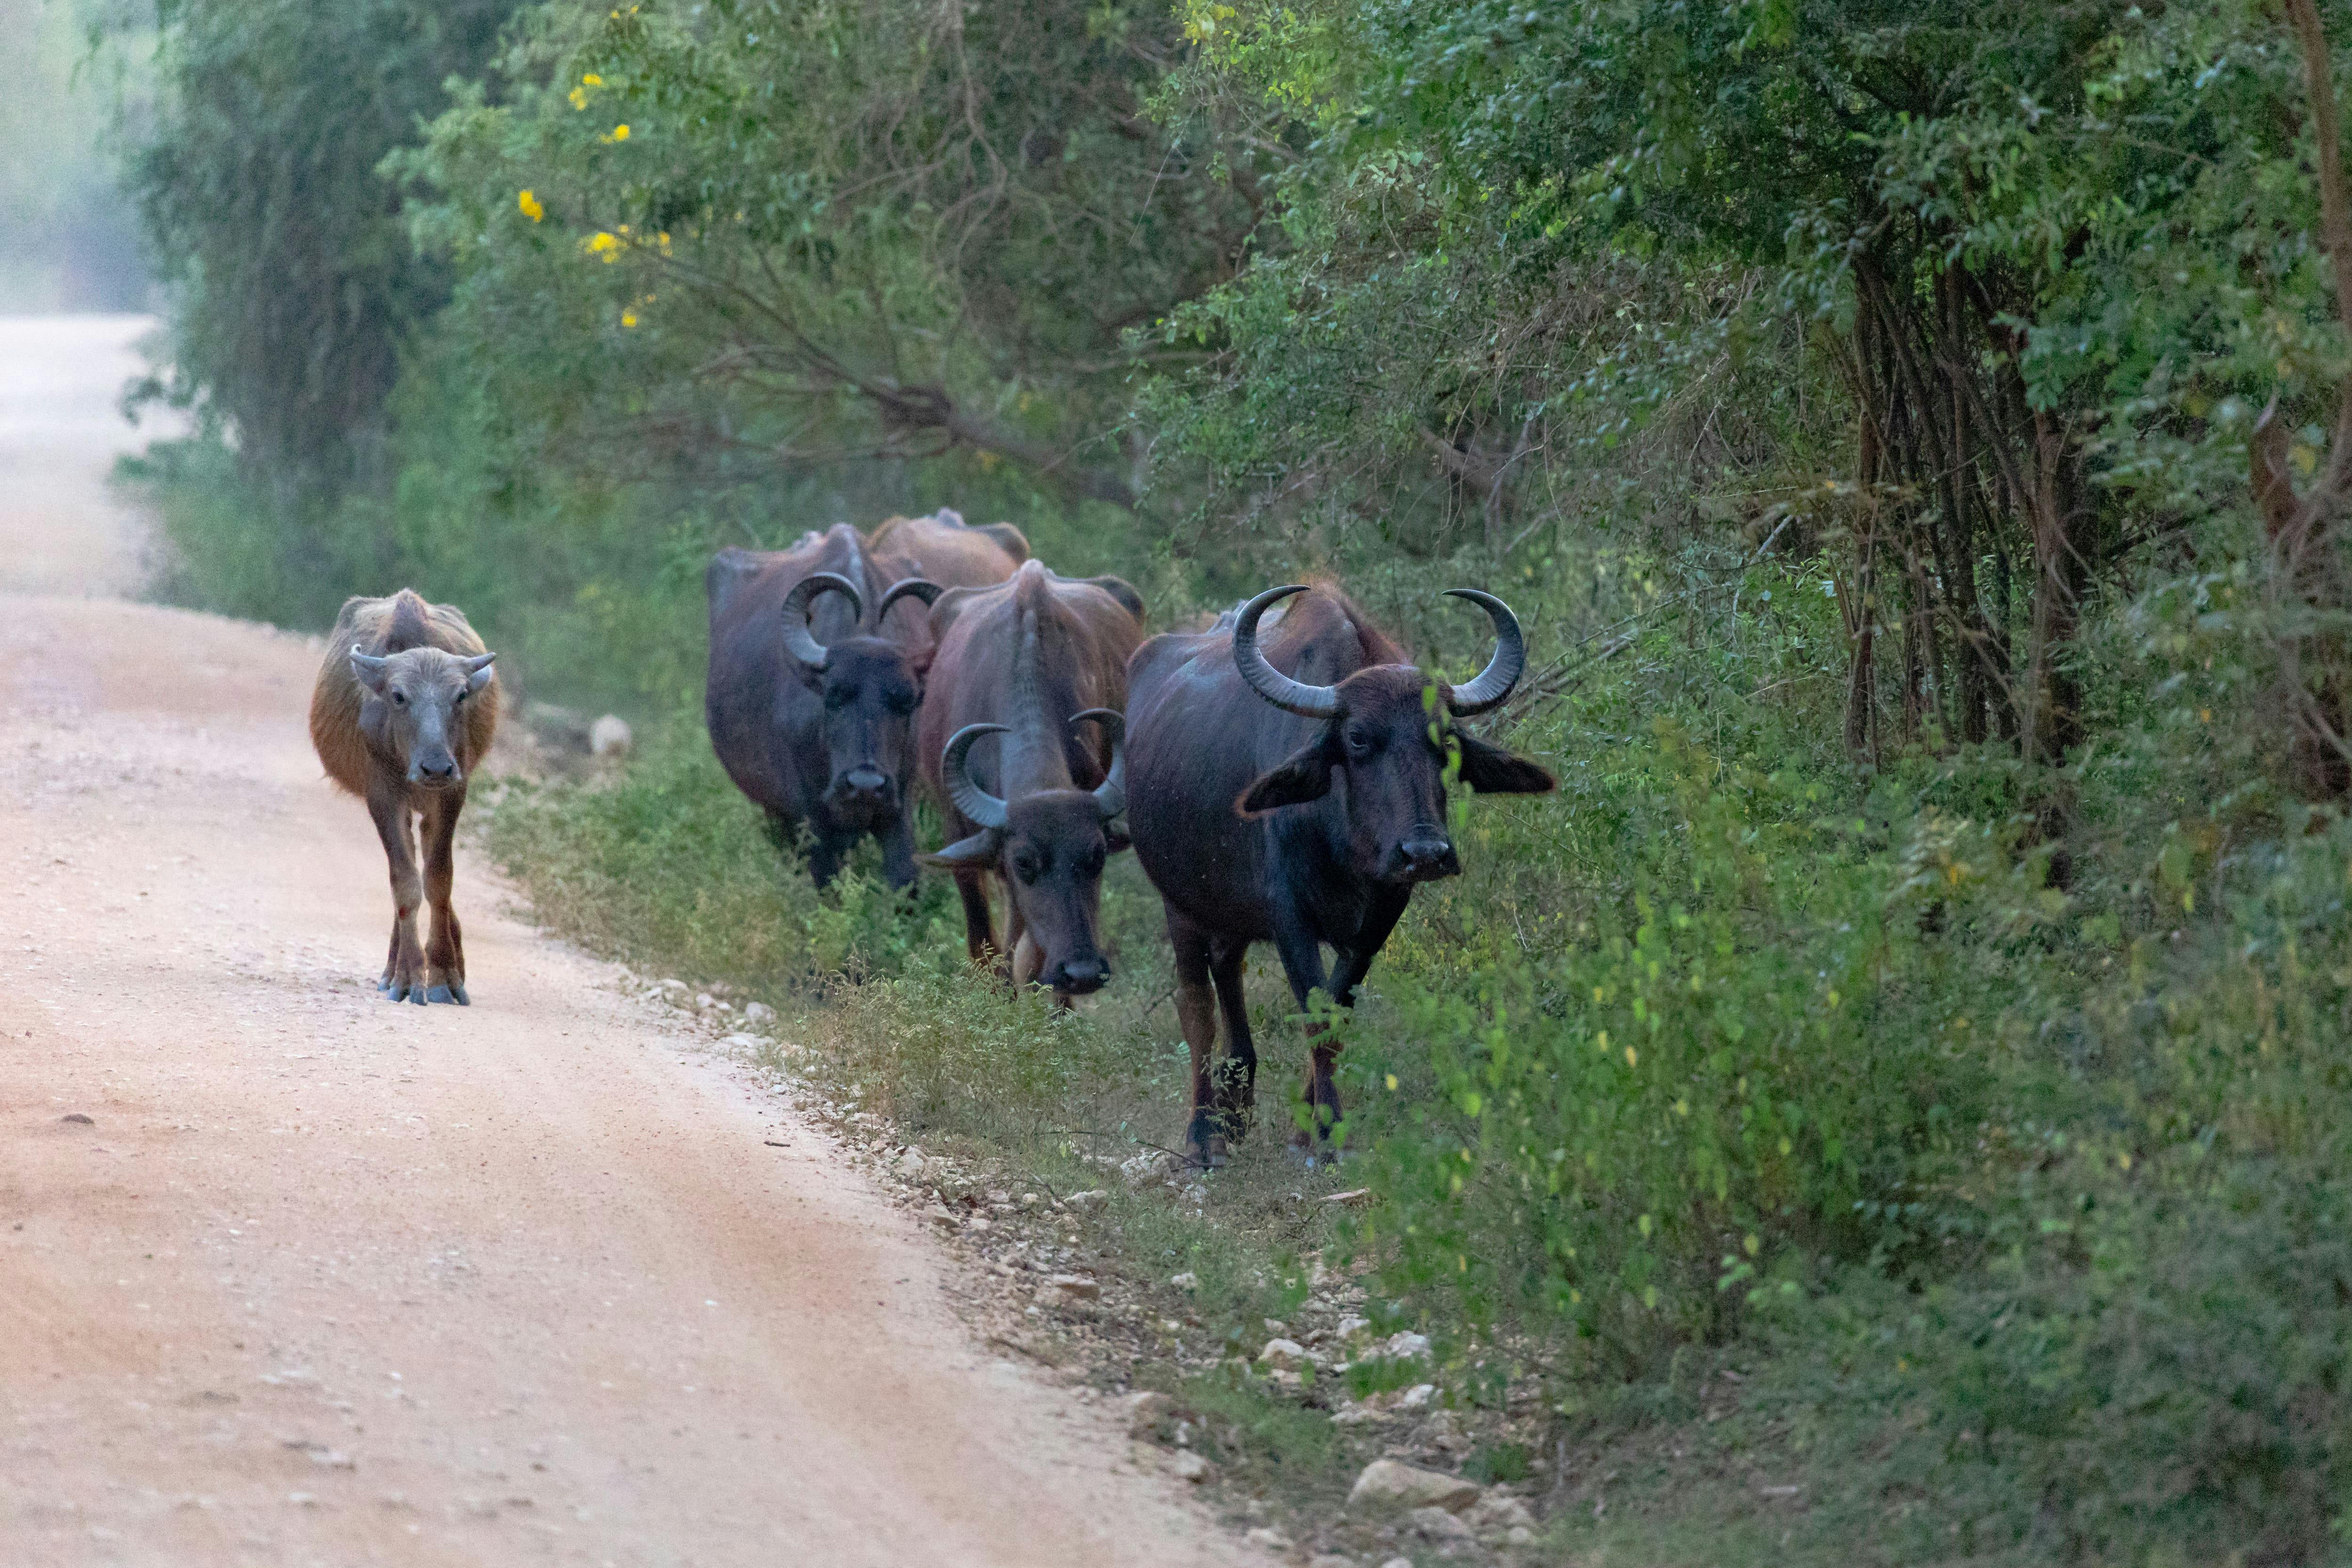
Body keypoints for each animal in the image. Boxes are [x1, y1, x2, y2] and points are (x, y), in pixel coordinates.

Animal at [310, 587, 499, 1006]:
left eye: (461, 695)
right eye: (398, 696)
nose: (436, 768)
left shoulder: (453, 791)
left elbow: (439, 880)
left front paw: (444, 975)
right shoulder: (382, 795)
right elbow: (406, 882)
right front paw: (411, 977)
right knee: (407, 869)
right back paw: (392, 969)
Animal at [701, 512, 1025, 884]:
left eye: (906, 701)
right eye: (833, 696)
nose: (866, 785)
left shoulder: (898, 805)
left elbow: (905, 877)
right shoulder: (810, 819)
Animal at [913, 562, 1143, 992]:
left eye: (1097, 855)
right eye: (1024, 862)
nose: (1084, 973)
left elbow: (1032, 958)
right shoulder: (965, 847)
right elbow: (988, 949)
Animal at [1129, 583, 1552, 1161]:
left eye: (1446, 740)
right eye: (1356, 738)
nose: (1425, 852)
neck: (1342, 843)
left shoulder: (1379, 919)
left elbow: (1337, 1011)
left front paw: (1312, 1125)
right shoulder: (1289, 917)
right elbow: (1312, 1014)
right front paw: (1326, 1135)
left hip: (1230, 913)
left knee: (1228, 974)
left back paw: (1234, 1111)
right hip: (1179, 904)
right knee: (1197, 1011)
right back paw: (1201, 1136)